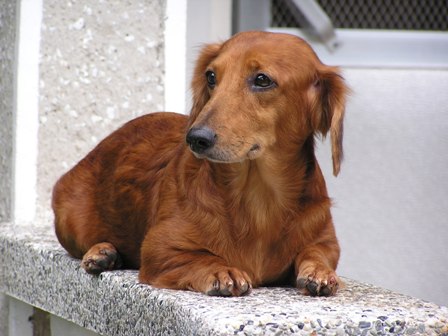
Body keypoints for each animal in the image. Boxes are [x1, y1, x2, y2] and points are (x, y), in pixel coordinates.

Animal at [51, 30, 346, 296]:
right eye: (211, 76)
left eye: (262, 79)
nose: (196, 138)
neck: (258, 199)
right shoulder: (160, 249)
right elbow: (201, 257)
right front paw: (222, 270)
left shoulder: (326, 242)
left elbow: (316, 253)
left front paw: (319, 272)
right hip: (69, 220)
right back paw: (102, 252)